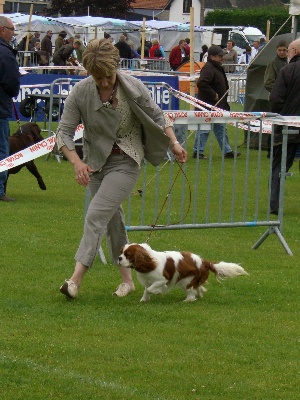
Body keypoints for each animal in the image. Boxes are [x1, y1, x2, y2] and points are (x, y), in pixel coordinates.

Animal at [118, 244, 247, 304]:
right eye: (121, 253)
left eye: (128, 255)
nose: (119, 258)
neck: (150, 261)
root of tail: (205, 261)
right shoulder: (148, 281)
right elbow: (146, 290)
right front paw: (144, 300)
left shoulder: (162, 280)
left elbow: (150, 289)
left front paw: (157, 292)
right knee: (198, 288)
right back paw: (200, 293)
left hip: (187, 281)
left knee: (191, 296)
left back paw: (186, 301)